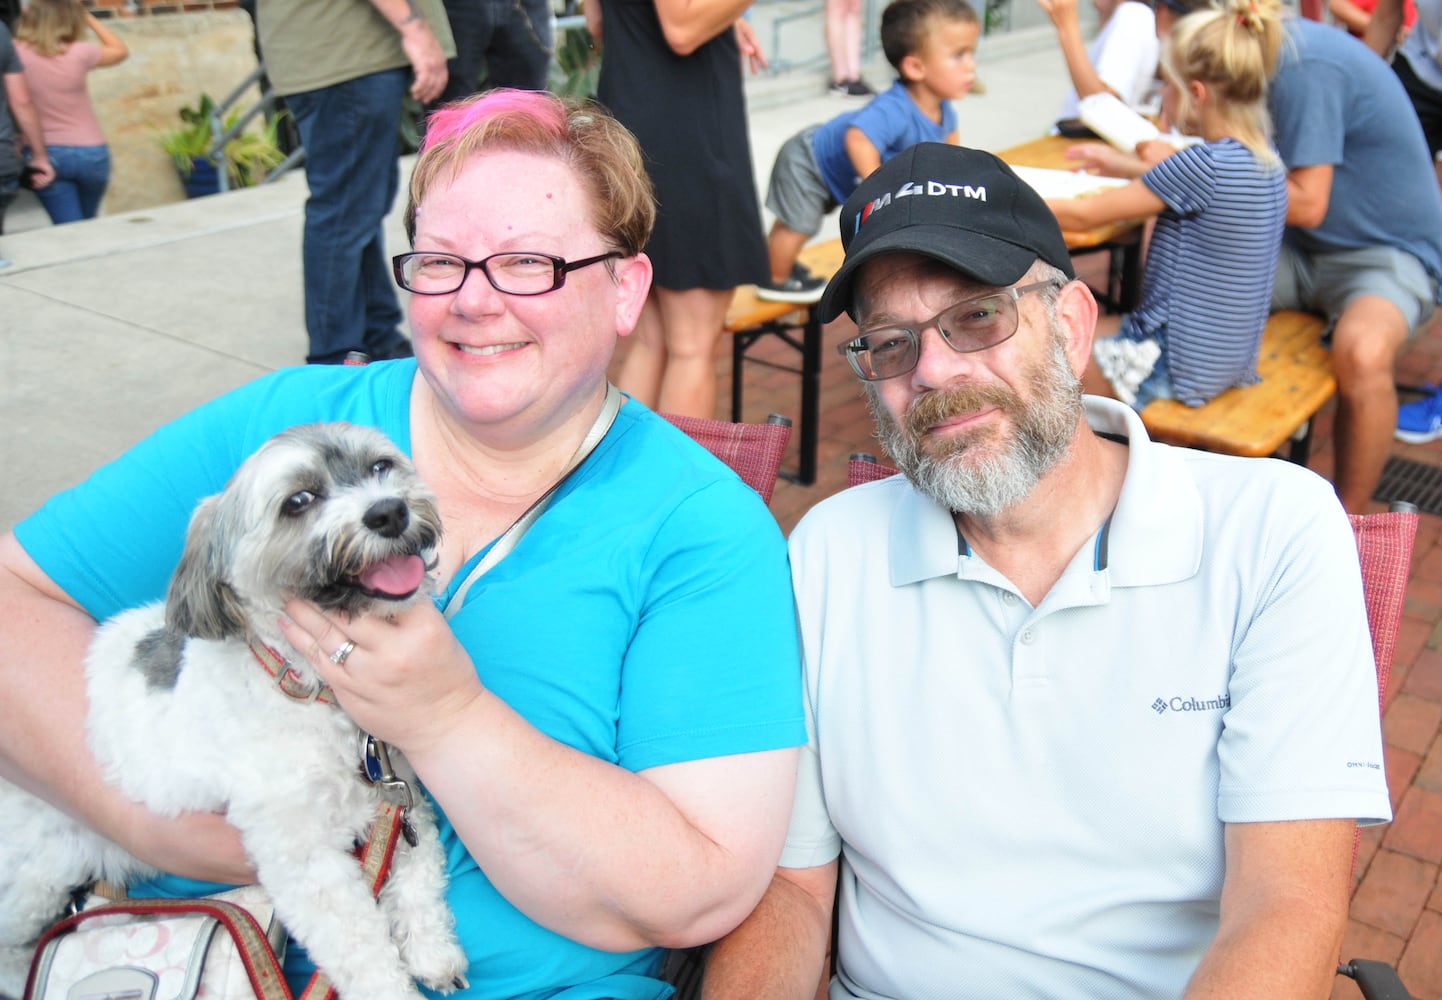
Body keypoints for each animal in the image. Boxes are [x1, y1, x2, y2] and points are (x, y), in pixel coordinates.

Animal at [0, 421, 467, 998]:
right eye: (299, 500)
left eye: (380, 467)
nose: (388, 512)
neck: (308, 690)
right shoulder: (303, 859)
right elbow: (360, 947)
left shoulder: (400, 798)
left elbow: (420, 876)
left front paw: (431, 949)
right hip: (34, 873)